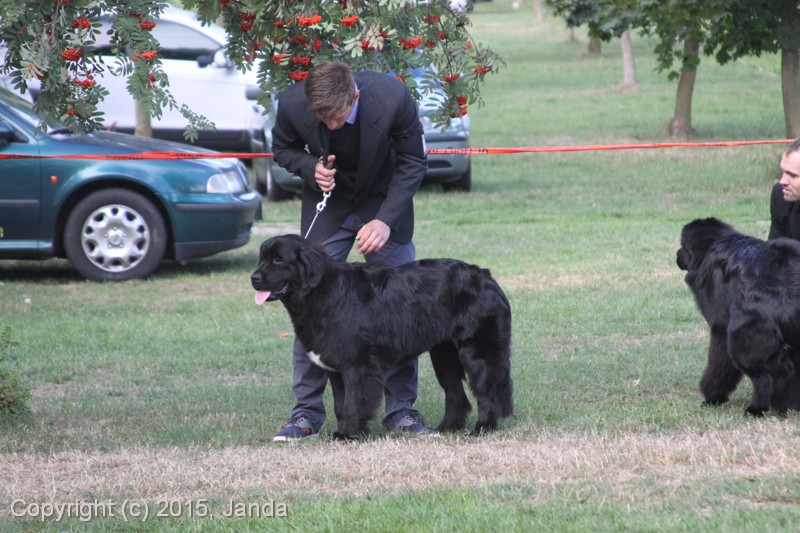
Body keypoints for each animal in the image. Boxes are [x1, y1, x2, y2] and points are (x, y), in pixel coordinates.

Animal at [251, 234, 513, 439]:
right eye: (261, 259)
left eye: (278, 260)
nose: (254, 278)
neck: (322, 292)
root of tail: (487, 277)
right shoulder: (337, 370)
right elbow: (340, 404)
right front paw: (344, 432)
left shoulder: (357, 366)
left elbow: (353, 402)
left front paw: (349, 435)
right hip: (444, 355)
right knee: (456, 395)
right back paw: (445, 428)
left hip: (477, 351)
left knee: (486, 391)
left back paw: (482, 429)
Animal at [676, 217, 800, 416]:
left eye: (682, 246)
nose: (677, 254)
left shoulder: (720, 328)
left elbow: (719, 360)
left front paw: (712, 396)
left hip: (744, 336)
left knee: (767, 375)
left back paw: (758, 408)